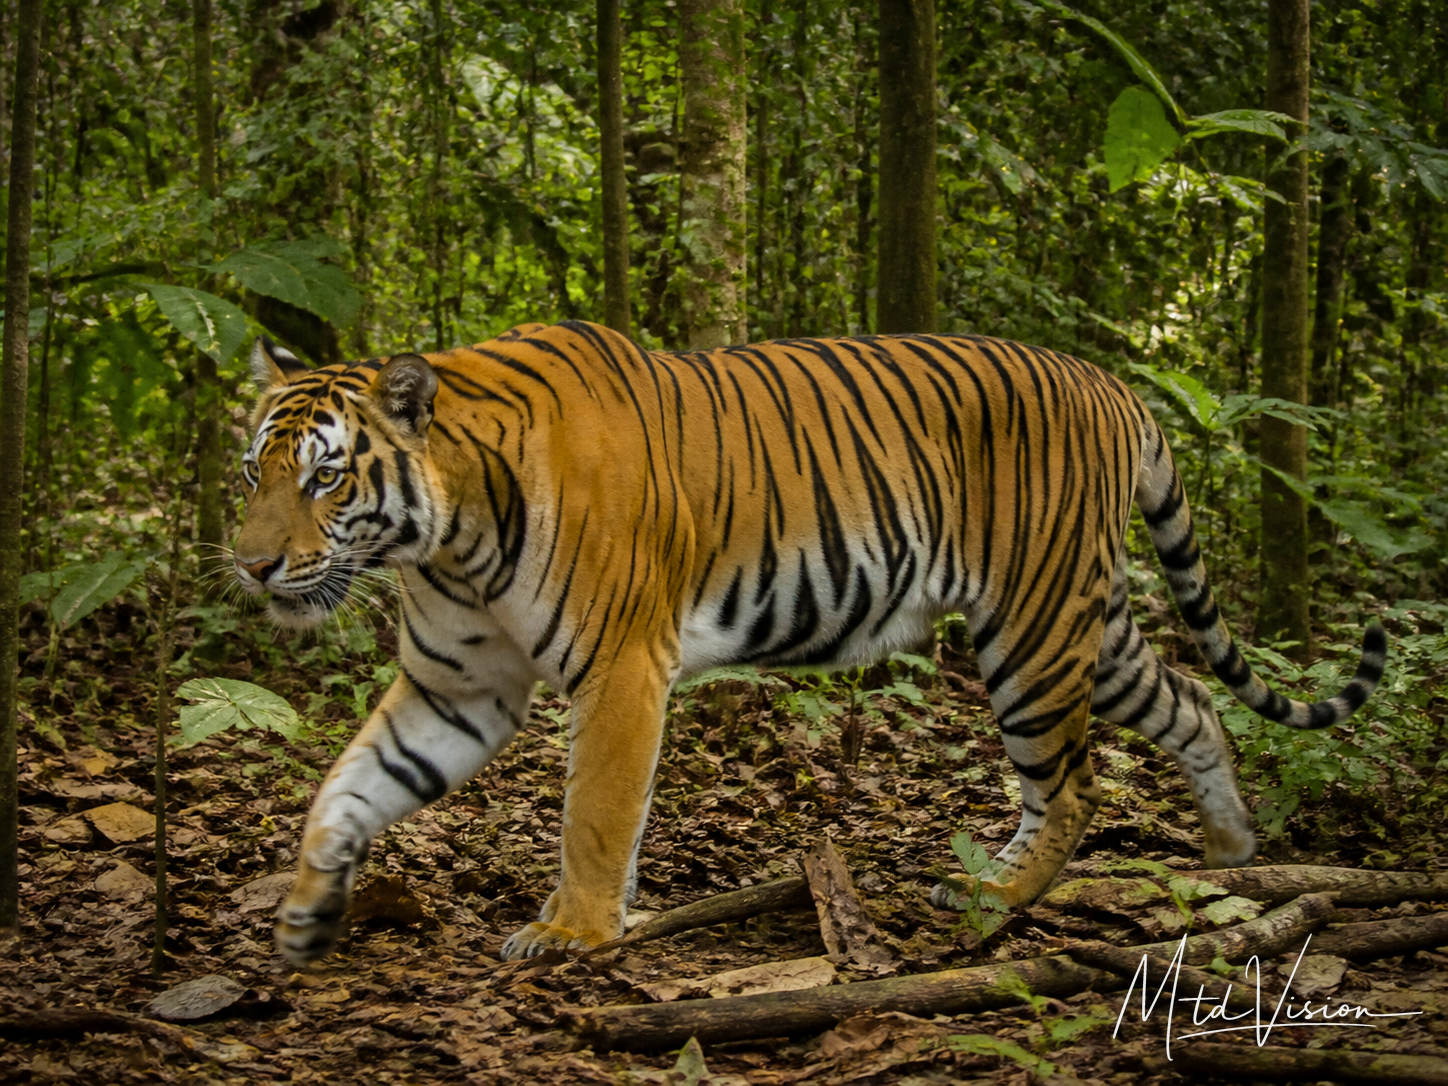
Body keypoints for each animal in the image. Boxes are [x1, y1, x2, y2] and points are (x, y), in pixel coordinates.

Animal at [233, 321, 1386, 964]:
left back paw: (997, 896)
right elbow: (348, 787)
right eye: (254, 470)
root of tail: (1116, 387)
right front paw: (305, 913)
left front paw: (572, 933)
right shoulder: (454, 686)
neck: (449, 535)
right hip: (1085, 628)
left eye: (326, 477)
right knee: (1185, 700)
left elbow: (596, 814)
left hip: (1032, 627)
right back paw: (1229, 849)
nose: (249, 565)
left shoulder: (621, 667)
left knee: (1072, 784)